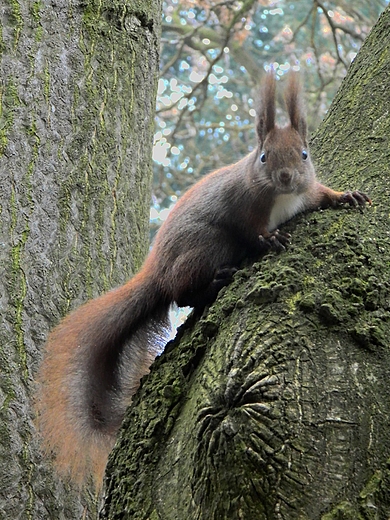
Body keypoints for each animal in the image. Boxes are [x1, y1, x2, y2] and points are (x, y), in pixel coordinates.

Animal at [35, 71, 370, 486]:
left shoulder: (305, 194)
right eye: (264, 156)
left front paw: (346, 196)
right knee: (182, 294)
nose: (286, 176)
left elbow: (322, 195)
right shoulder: (244, 208)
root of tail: (157, 272)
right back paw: (217, 281)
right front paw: (270, 240)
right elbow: (251, 231)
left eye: (305, 154)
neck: (279, 197)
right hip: (207, 247)